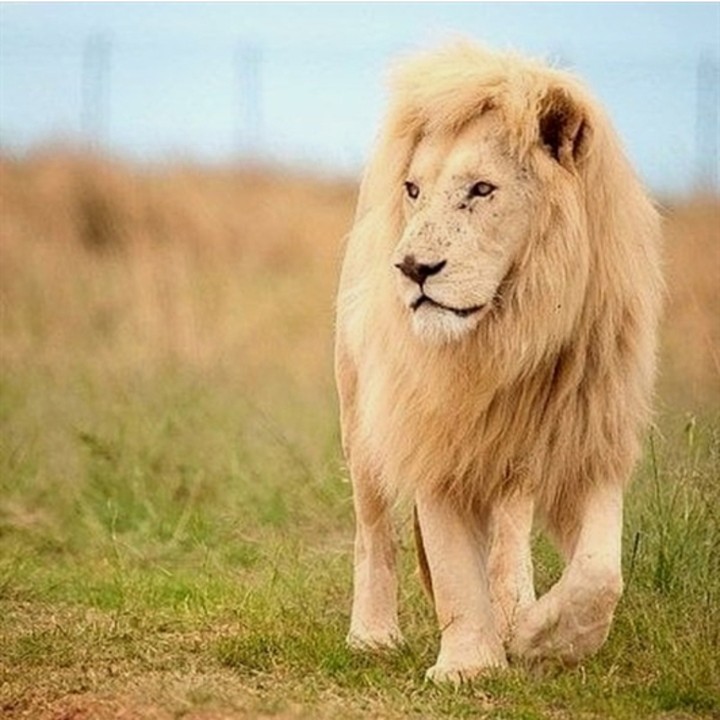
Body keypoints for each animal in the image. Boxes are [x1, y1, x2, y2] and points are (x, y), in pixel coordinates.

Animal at [334, 43, 663, 683]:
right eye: (413, 190)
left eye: (482, 190)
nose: (412, 268)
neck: (509, 338)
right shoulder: (434, 433)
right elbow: (453, 570)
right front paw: (469, 667)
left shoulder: (590, 436)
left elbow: (599, 571)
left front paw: (544, 638)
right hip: (360, 420)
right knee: (374, 531)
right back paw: (373, 637)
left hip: (515, 462)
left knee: (508, 536)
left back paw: (515, 611)